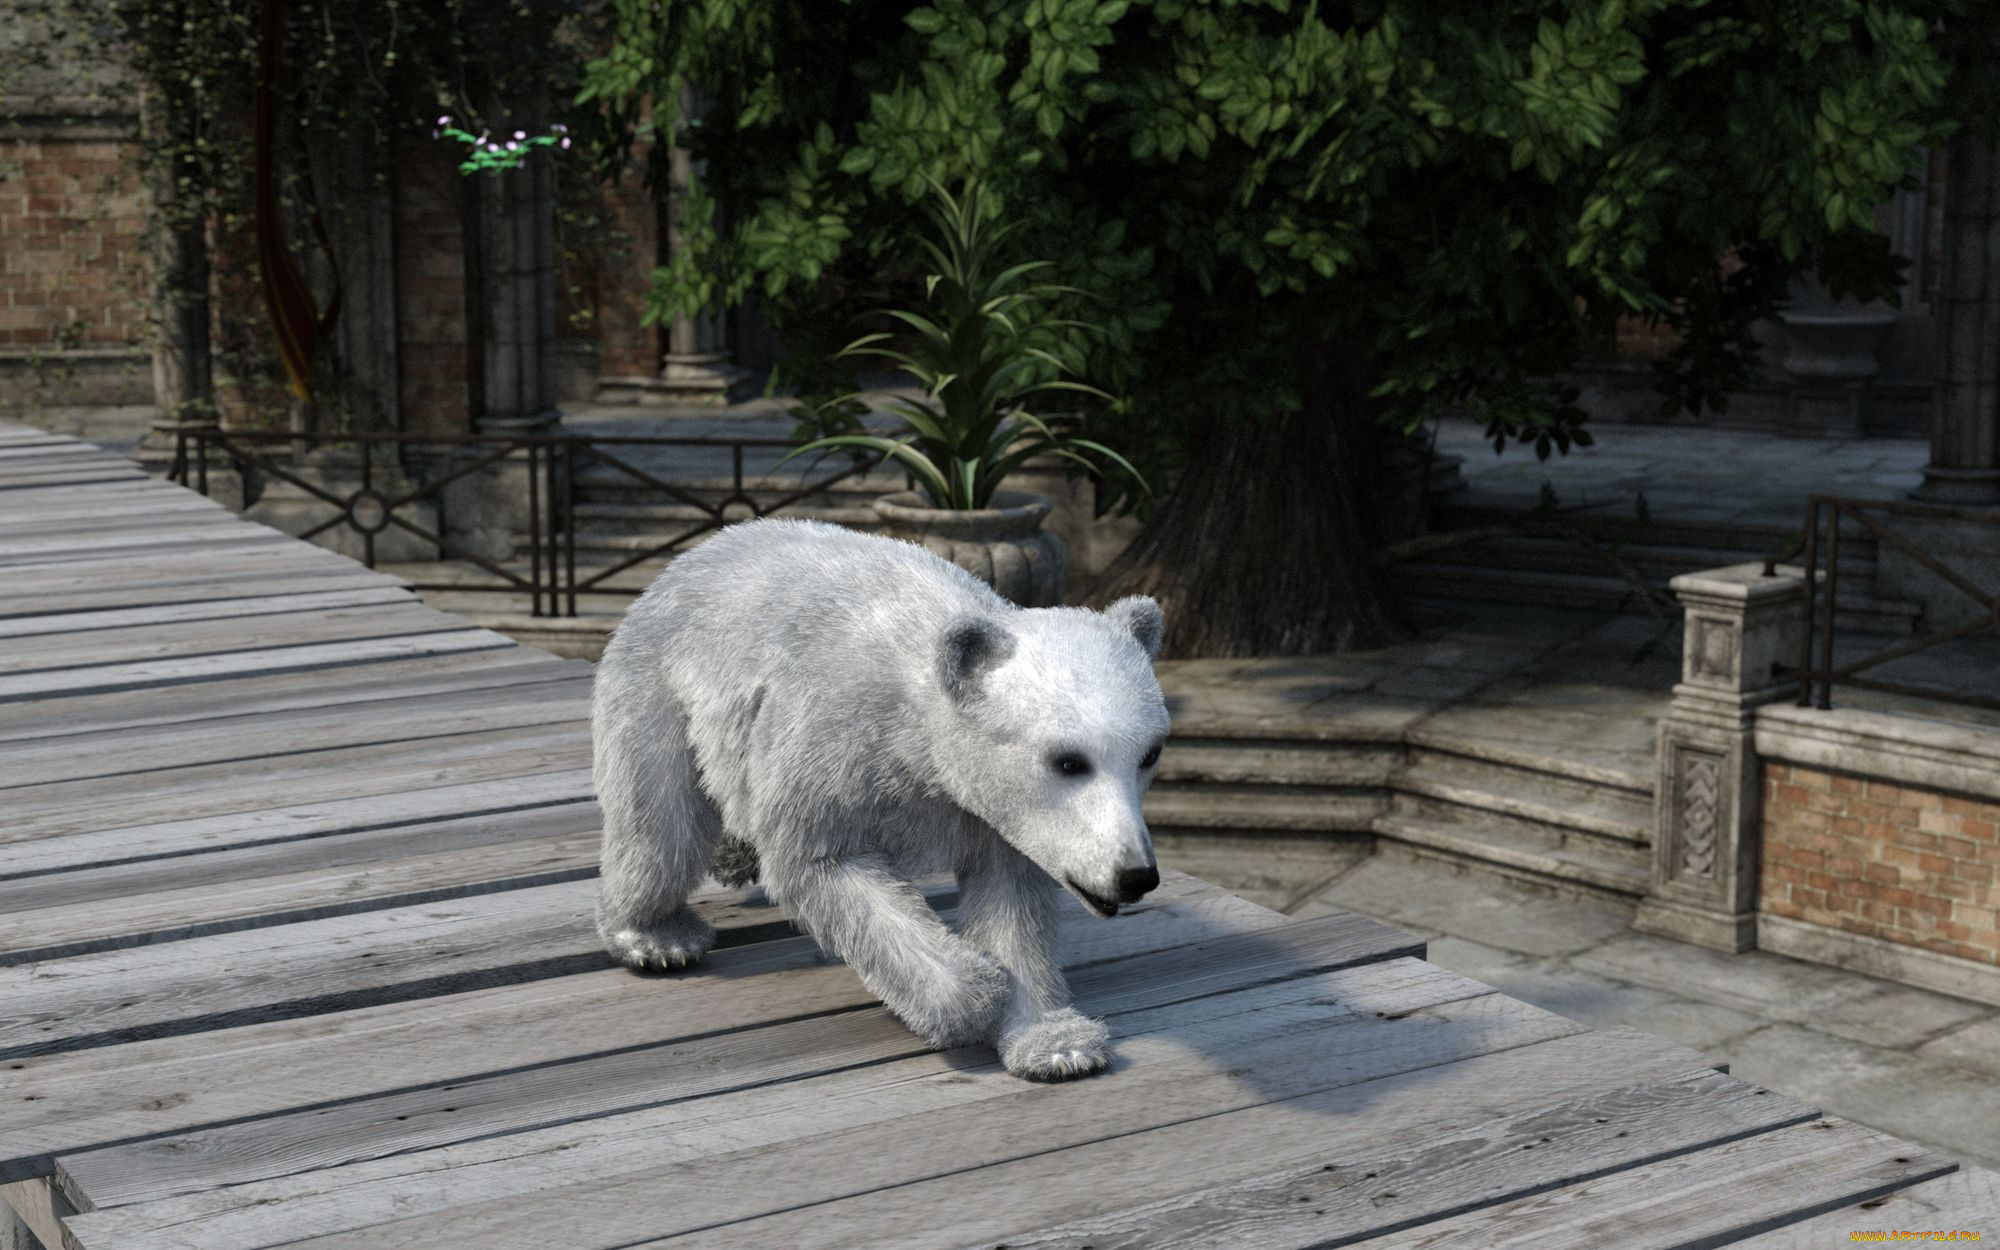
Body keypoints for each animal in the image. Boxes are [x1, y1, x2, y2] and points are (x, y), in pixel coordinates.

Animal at [591, 515, 1171, 1081]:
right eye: (1068, 761)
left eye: (1150, 754)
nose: (1134, 876)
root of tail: (692, 557)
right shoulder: (834, 745)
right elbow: (825, 865)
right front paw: (975, 996)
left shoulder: (988, 811)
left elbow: (1011, 900)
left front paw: (1056, 1044)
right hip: (659, 682)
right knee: (661, 825)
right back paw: (657, 937)